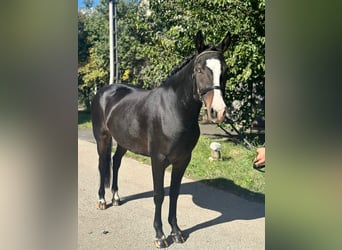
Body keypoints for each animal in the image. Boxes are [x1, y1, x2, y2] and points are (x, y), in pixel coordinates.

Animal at [89, 30, 231, 248]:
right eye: (199, 70)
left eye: (225, 70)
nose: (218, 111)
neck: (173, 110)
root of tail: (103, 91)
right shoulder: (158, 160)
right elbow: (159, 195)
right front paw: (160, 236)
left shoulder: (182, 160)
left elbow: (174, 194)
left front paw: (177, 232)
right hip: (102, 138)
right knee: (102, 165)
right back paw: (103, 201)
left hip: (123, 141)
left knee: (116, 162)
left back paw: (116, 197)